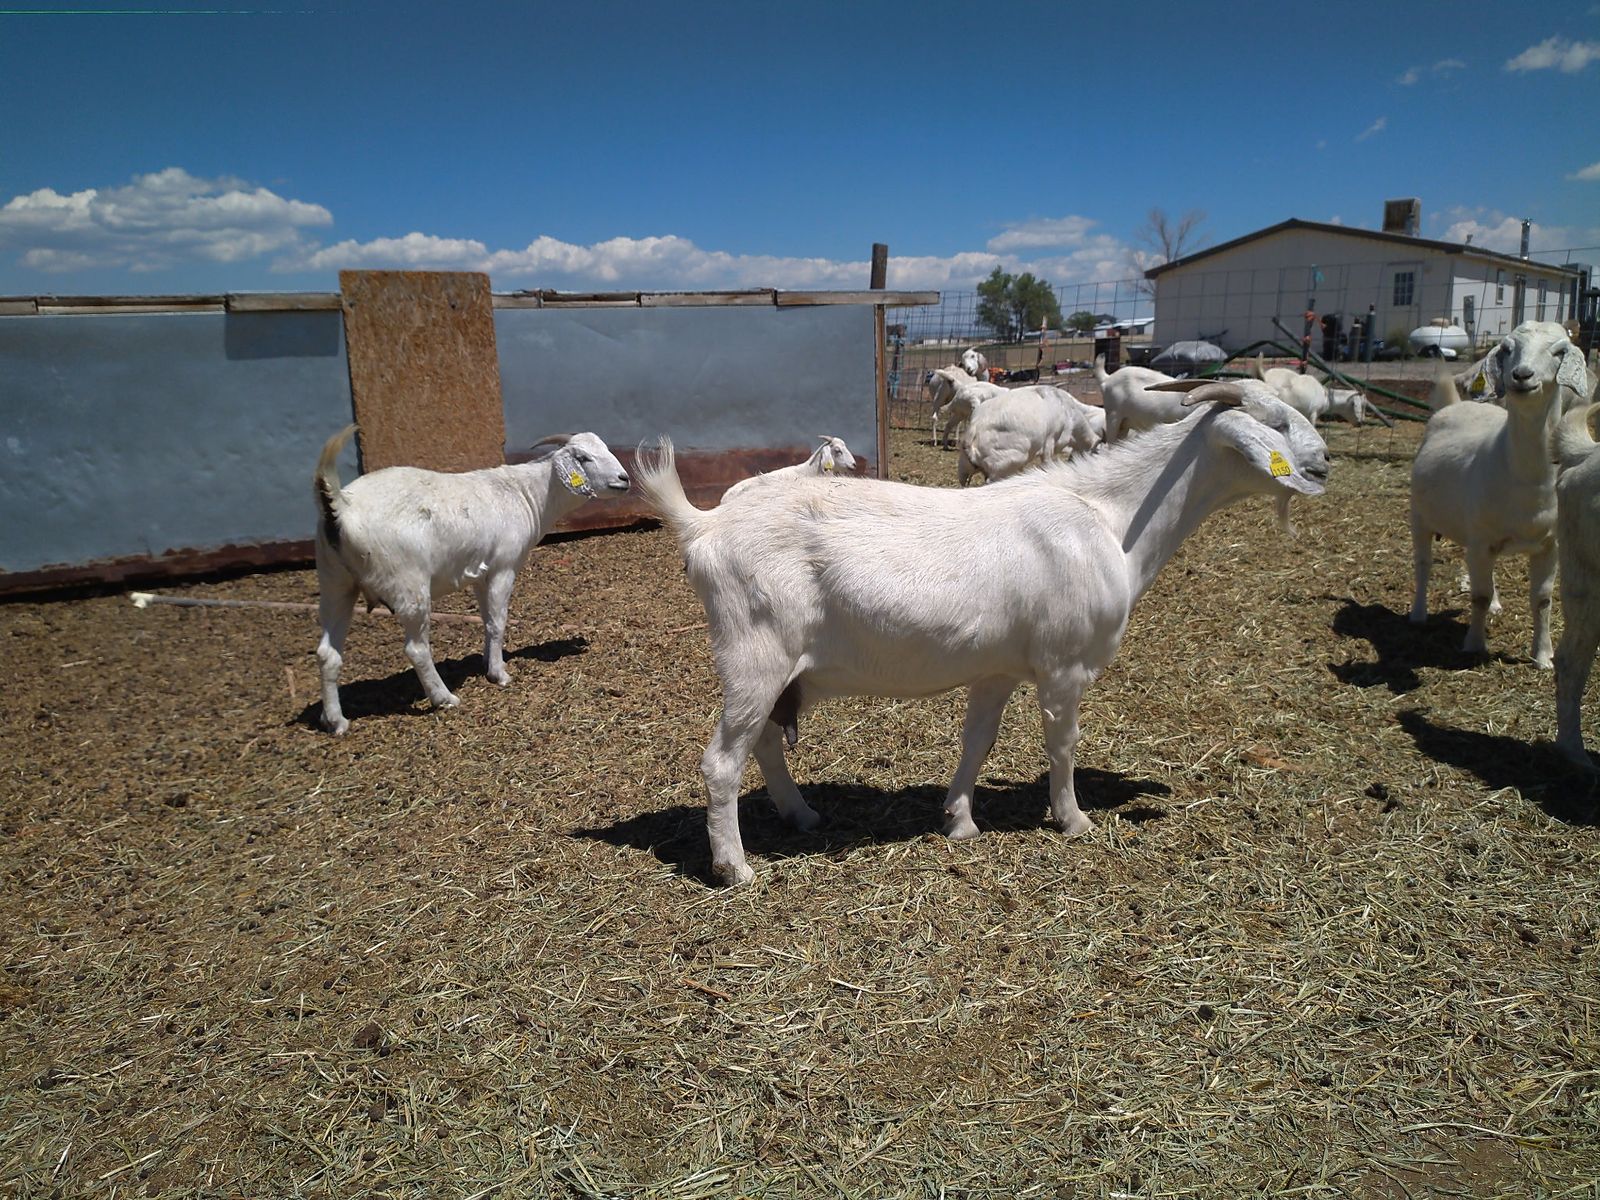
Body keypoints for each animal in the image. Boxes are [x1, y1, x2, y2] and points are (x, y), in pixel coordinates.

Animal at [313, 426, 631, 735]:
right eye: (583, 458)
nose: (624, 479)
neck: (526, 494)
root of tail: (341, 506)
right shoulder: (504, 567)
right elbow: (498, 621)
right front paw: (499, 674)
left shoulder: (481, 573)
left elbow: (487, 619)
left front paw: (489, 661)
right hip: (408, 585)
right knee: (416, 649)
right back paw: (444, 698)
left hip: (334, 582)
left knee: (327, 653)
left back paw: (335, 722)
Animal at [1409, 323, 1590, 666]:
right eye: (1506, 349)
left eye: (1559, 350)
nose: (1521, 375)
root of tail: (1455, 406)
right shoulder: (1481, 541)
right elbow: (1477, 597)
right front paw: (1473, 644)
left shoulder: (1550, 546)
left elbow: (1542, 600)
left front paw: (1542, 656)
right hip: (1420, 518)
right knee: (1423, 565)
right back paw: (1419, 614)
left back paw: (1495, 604)